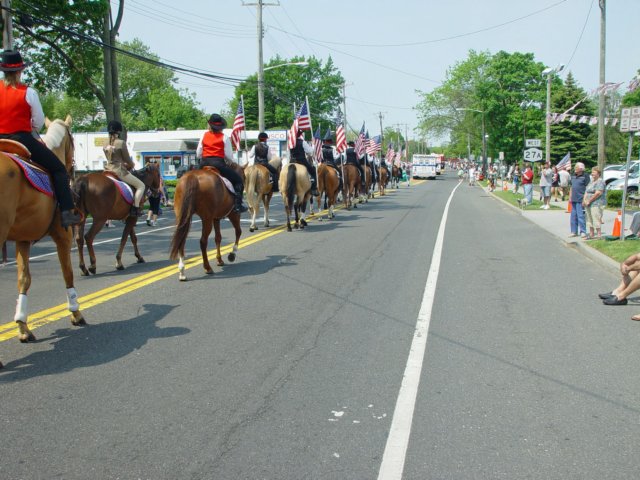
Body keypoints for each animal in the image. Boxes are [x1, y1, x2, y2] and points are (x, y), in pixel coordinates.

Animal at [0, 117, 85, 368]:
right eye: (73, 139)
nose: (72, 169)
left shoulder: (23, 240)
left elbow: (24, 279)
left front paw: (23, 327)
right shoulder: (63, 236)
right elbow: (68, 274)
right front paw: (76, 313)